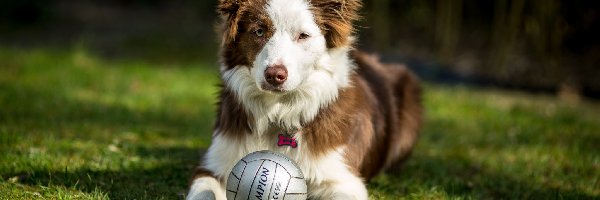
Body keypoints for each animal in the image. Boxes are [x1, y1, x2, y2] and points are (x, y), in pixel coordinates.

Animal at [188, 0, 422, 198]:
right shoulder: (213, 167)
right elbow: (205, 192)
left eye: (303, 36)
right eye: (259, 31)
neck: (279, 111)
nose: (274, 75)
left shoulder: (343, 179)